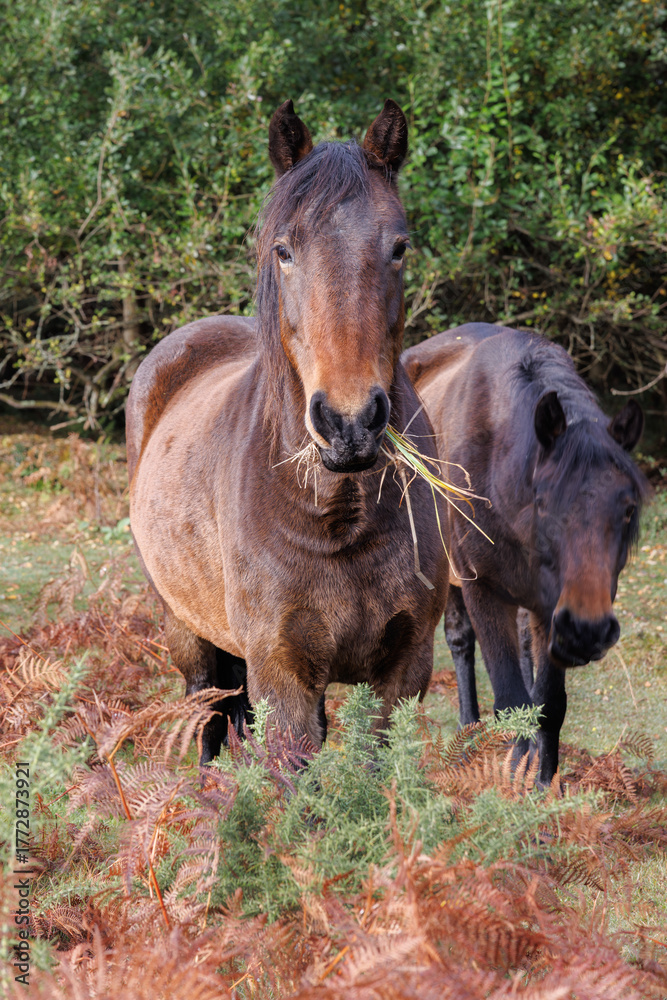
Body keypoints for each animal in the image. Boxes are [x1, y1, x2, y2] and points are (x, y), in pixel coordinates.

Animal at [126, 99, 449, 764]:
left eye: (399, 247)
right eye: (284, 250)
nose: (349, 423)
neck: (339, 516)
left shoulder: (404, 670)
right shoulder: (281, 672)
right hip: (186, 633)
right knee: (208, 714)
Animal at [402, 324, 648, 784]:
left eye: (627, 510)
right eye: (543, 503)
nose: (586, 631)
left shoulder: (550, 606)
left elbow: (548, 704)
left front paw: (541, 783)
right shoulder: (482, 590)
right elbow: (511, 700)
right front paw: (510, 784)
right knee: (460, 643)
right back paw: (468, 738)